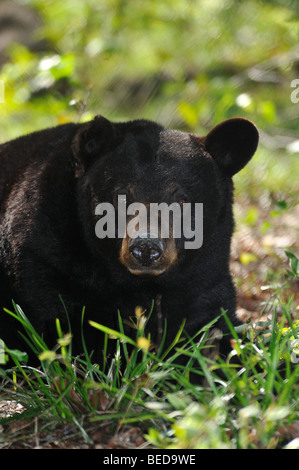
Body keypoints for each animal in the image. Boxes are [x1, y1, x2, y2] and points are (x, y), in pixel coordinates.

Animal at [0, 115, 258, 366]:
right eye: (121, 196)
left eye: (182, 199)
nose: (146, 247)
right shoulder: (46, 259)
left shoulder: (205, 277)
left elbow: (215, 330)